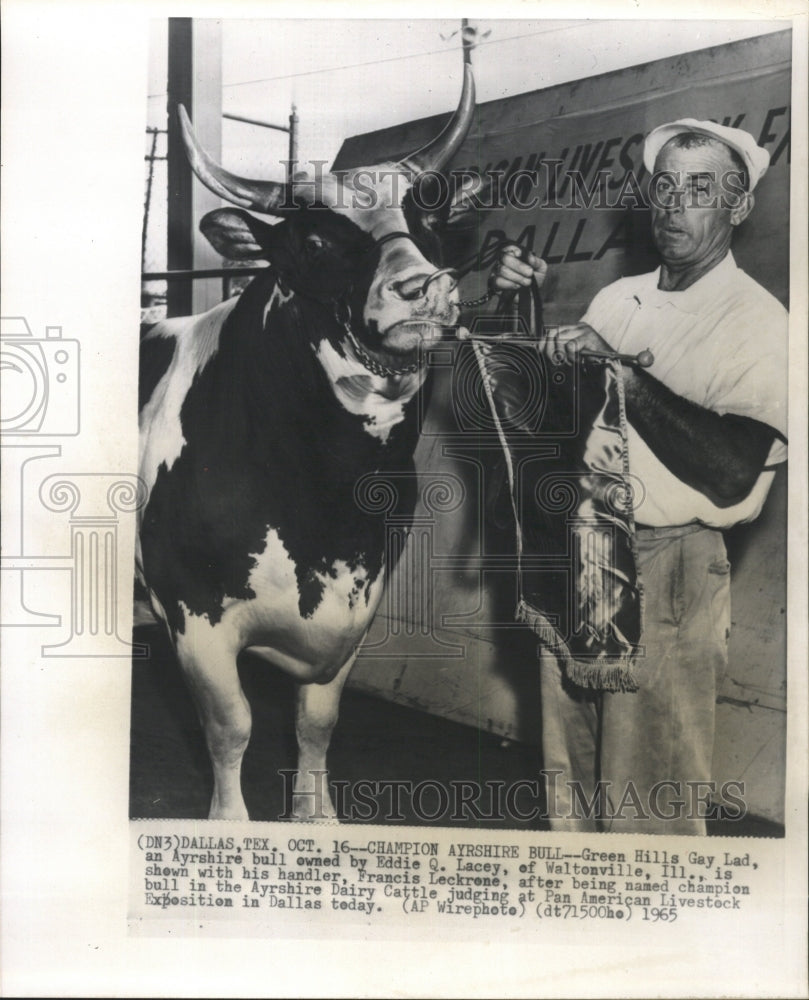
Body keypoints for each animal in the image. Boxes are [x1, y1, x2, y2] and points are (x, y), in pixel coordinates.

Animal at [137, 66, 476, 824]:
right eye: (314, 239)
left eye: (429, 217)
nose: (422, 288)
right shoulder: (193, 613)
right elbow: (231, 725)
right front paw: (231, 826)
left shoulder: (357, 608)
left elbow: (316, 723)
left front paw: (314, 817)